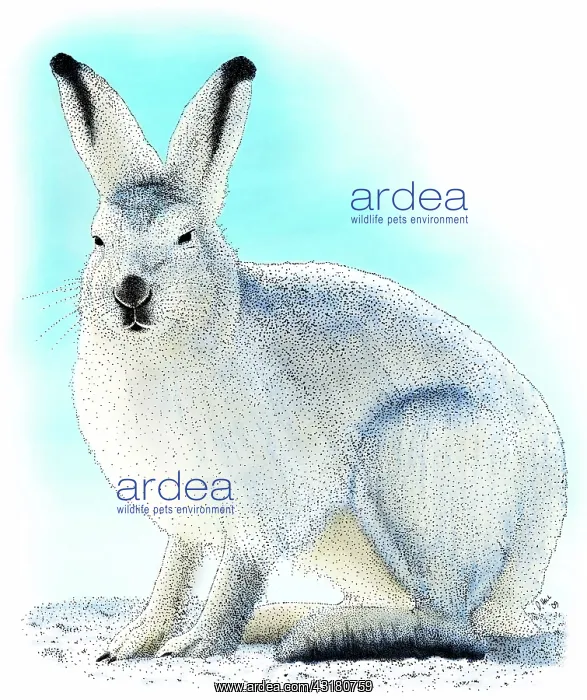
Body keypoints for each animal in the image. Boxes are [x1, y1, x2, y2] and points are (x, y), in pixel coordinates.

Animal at [50, 51, 566, 662]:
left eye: (185, 236)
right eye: (98, 239)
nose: (131, 292)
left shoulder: (258, 509)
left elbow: (235, 579)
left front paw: (197, 644)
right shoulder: (186, 518)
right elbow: (173, 576)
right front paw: (130, 643)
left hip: (409, 464)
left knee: (449, 619)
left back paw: (322, 633)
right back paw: (294, 621)